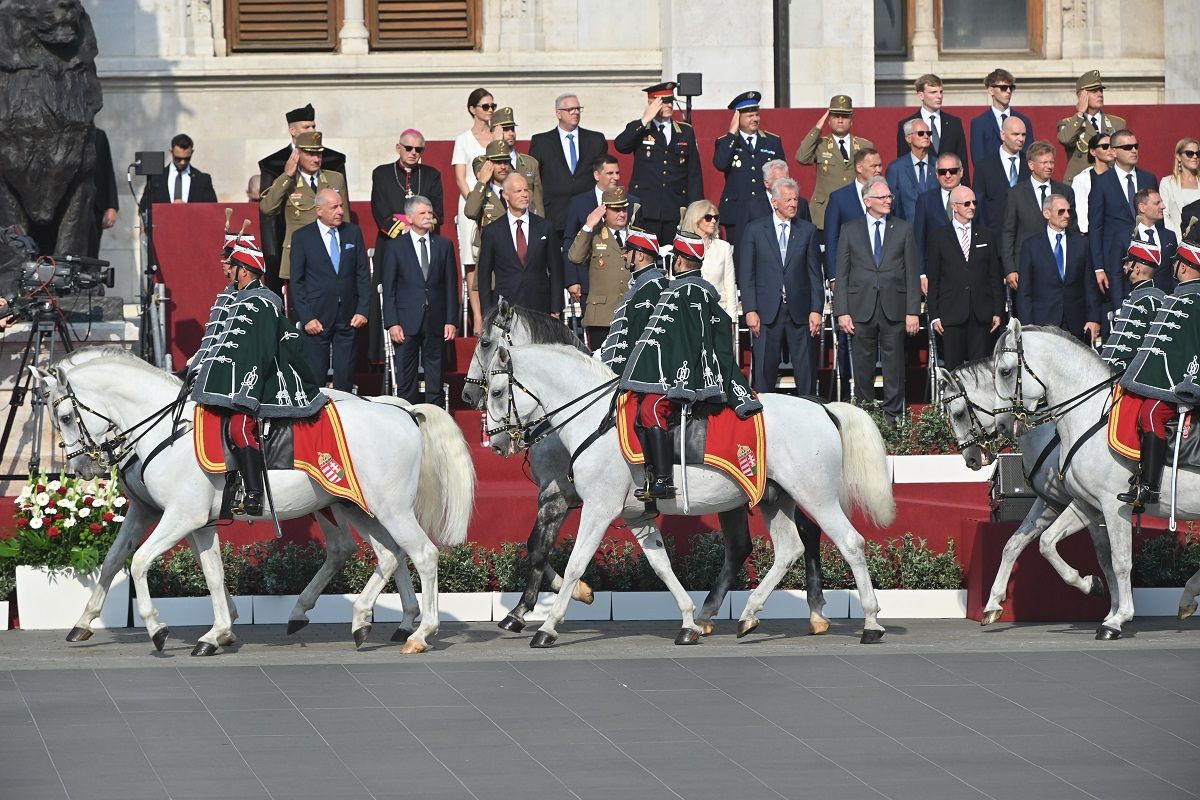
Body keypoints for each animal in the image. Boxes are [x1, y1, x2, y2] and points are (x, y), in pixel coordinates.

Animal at [32, 350, 472, 657]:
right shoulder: (191, 521)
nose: (81, 467)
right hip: (358, 506)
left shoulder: (179, 516)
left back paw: (418, 633)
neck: (165, 430)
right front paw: (217, 632)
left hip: (387, 508)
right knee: (386, 553)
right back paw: (362, 619)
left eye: (67, 416)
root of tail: (402, 411)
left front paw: (158, 629)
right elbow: (205, 573)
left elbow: (138, 562)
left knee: (420, 554)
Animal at [482, 343, 897, 642]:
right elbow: (662, 566)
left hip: (815, 496)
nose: (495, 443)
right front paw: (688, 622)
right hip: (775, 499)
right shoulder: (637, 515)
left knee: (849, 542)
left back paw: (871, 622)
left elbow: (574, 565)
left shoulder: (598, 508)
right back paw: (747, 615)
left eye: (498, 391)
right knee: (790, 547)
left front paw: (548, 626)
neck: (592, 420)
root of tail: (822, 407)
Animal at [936, 362, 1113, 623]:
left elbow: (1106, 557)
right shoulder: (1051, 503)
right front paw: (992, 604)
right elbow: (1013, 544)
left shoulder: (1087, 506)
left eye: (958, 414)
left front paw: (1103, 596)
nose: (970, 460)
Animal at [993, 321, 1200, 633]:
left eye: (1005, 371)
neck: (1088, 414)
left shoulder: (1114, 505)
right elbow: (1047, 543)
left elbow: (1121, 561)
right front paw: (1091, 585)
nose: (1002, 422)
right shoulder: (1086, 503)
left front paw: (1118, 618)